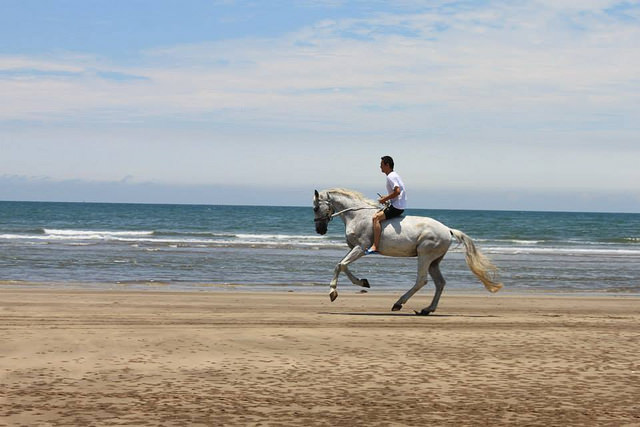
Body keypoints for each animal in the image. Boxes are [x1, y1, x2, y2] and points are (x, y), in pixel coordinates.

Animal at [312, 189, 502, 316]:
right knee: (440, 283)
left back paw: (398, 303)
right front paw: (363, 282)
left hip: (425, 256)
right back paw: (427, 309)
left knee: (422, 280)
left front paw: (333, 292)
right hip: (434, 261)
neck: (357, 217)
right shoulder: (354, 249)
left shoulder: (361, 248)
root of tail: (447, 230)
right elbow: (341, 265)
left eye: (314, 208)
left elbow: (340, 265)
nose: (319, 230)